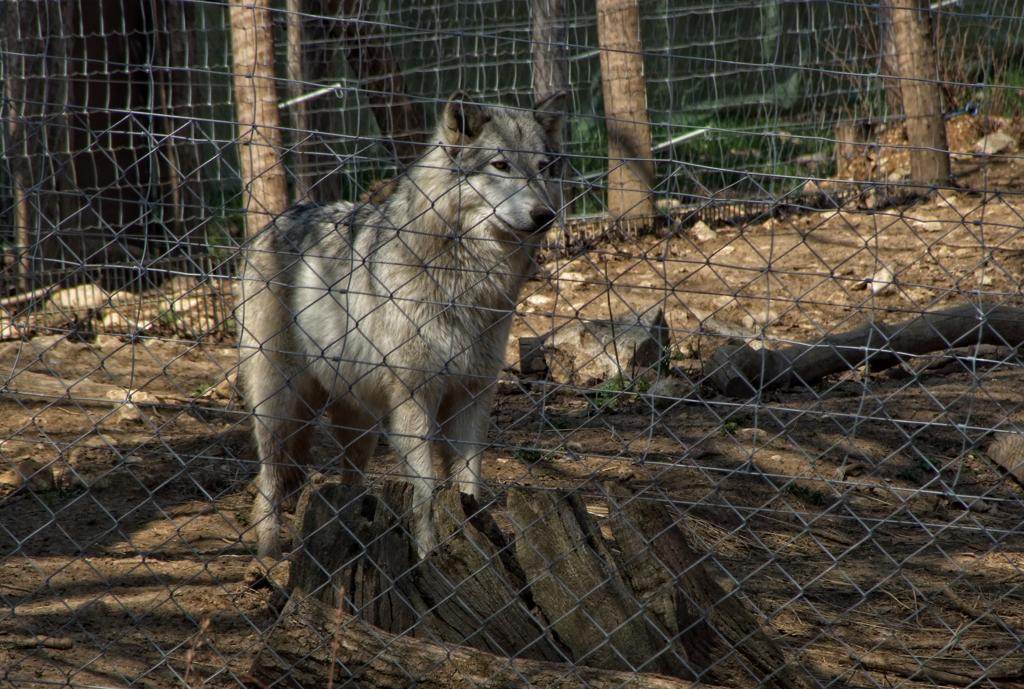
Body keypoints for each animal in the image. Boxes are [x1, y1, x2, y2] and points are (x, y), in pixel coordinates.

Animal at [238, 91, 567, 559]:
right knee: (270, 479)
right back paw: (269, 556)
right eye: (500, 165)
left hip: (358, 419)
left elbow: (469, 485)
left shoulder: (472, 396)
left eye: (543, 168)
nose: (545, 215)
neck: (465, 277)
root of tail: (283, 216)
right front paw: (428, 557)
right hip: (280, 407)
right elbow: (426, 490)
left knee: (349, 482)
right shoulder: (415, 400)